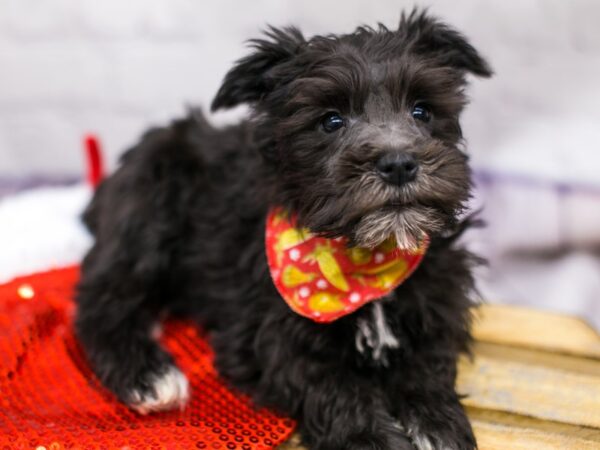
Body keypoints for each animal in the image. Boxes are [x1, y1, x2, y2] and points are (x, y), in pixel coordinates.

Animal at [75, 10, 490, 450]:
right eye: (331, 121)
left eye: (422, 111)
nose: (398, 164)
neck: (367, 256)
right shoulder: (271, 334)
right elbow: (335, 389)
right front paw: (370, 438)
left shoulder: (441, 297)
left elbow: (429, 364)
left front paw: (438, 422)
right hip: (146, 222)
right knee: (101, 301)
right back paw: (149, 374)